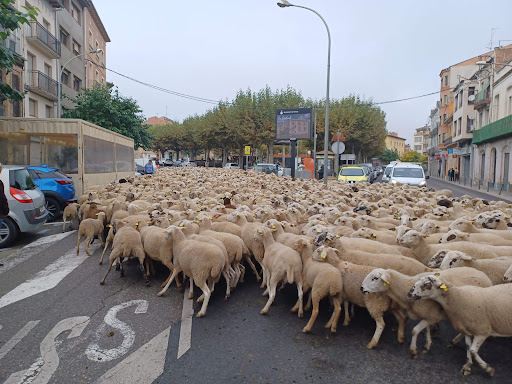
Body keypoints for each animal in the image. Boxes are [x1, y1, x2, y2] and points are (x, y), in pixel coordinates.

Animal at [360, 268, 492, 356]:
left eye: (375, 278)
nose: (361, 288)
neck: (407, 286)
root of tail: (485, 275)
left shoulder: (432, 315)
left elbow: (415, 331)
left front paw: (413, 350)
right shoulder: (426, 315)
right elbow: (426, 329)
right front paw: (428, 344)